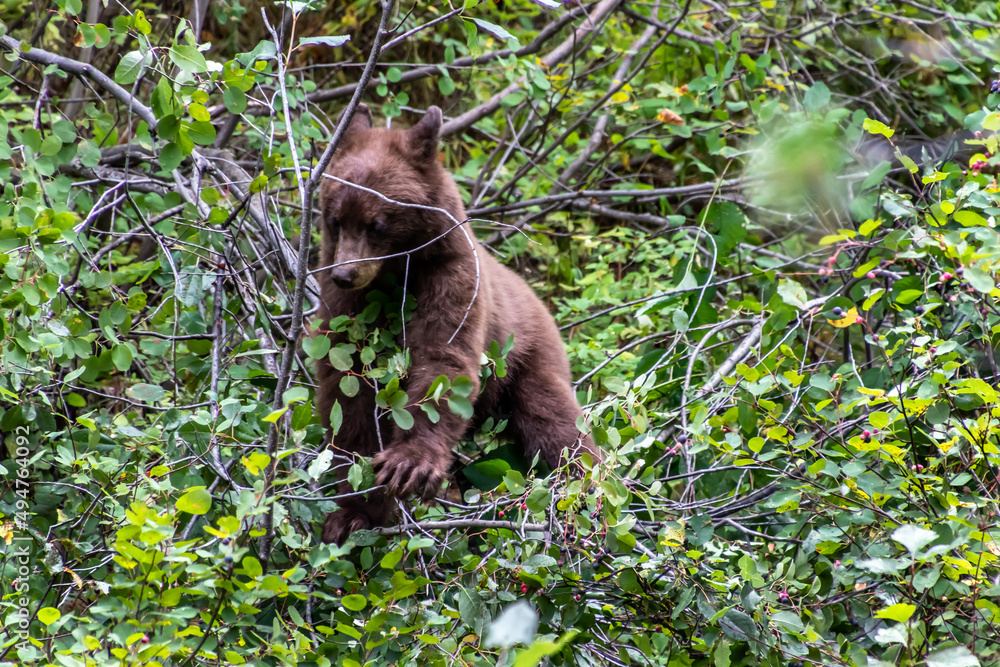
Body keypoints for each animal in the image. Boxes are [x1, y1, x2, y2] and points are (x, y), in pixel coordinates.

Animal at [316, 104, 597, 545]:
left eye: (376, 223)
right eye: (334, 219)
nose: (346, 273)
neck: (397, 273)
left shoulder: (453, 278)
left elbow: (444, 360)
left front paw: (409, 465)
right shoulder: (343, 305)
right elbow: (345, 385)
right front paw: (352, 513)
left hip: (528, 357)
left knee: (558, 427)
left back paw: (587, 491)